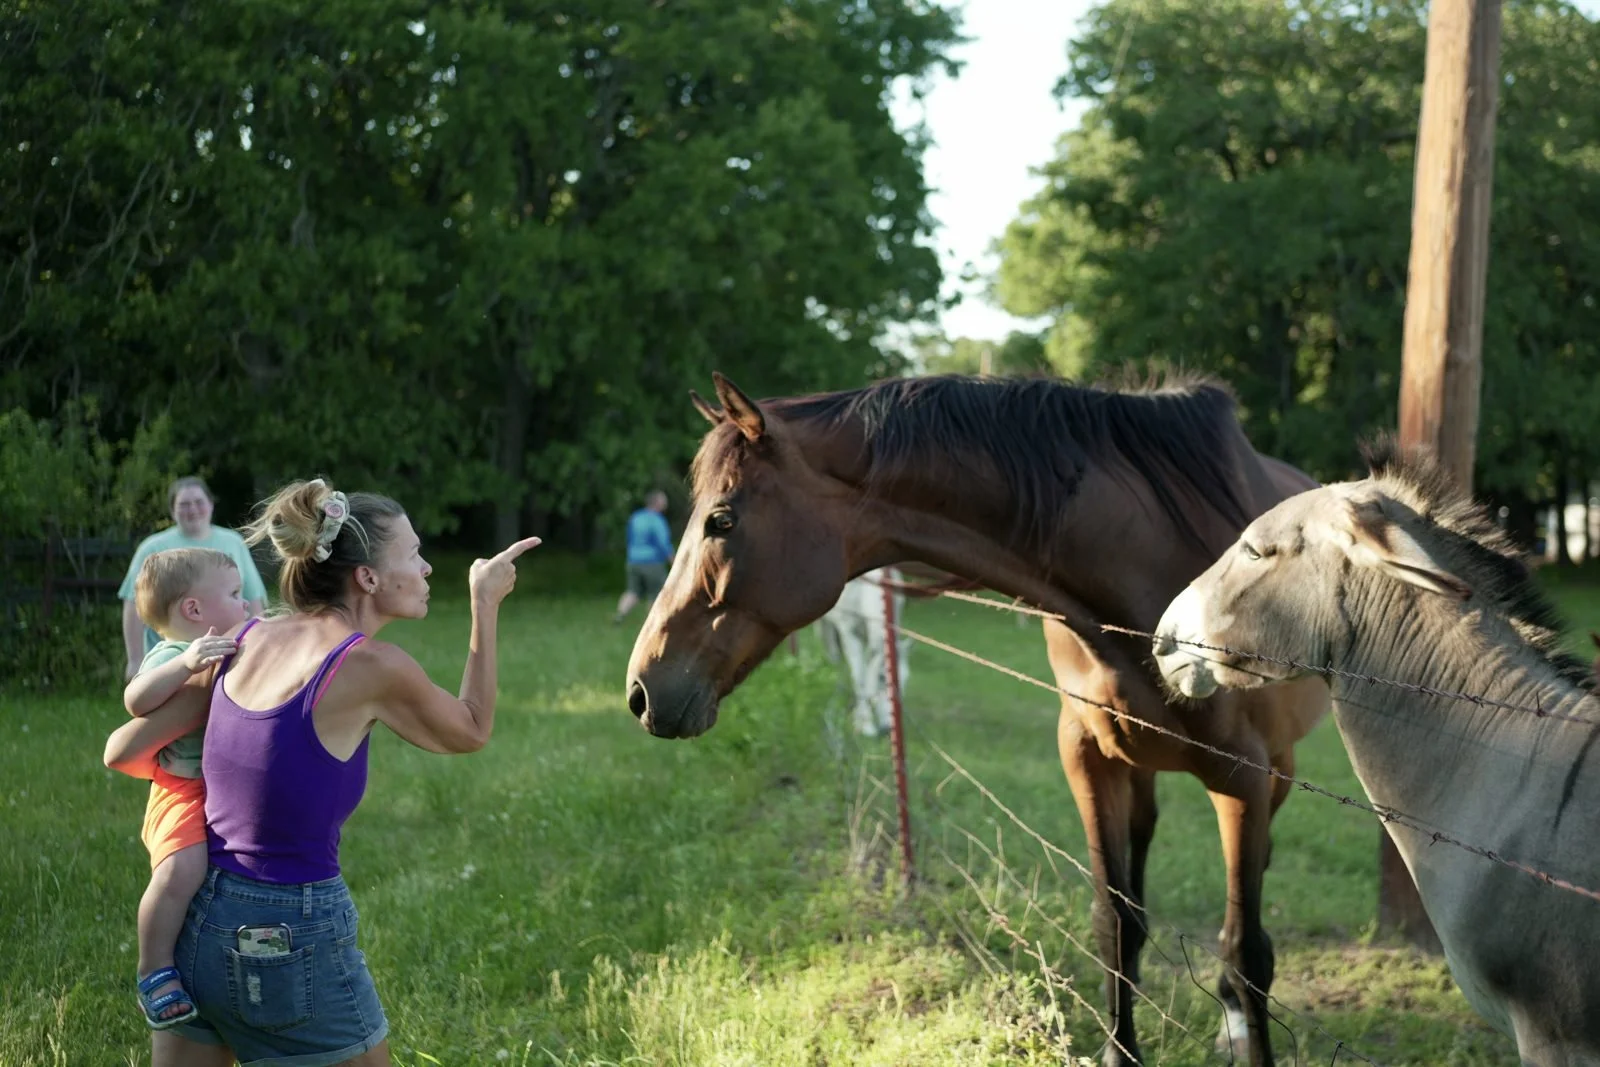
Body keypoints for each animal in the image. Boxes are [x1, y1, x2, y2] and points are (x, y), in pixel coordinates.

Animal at [624, 371, 1330, 1067]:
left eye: (721, 520)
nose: (641, 689)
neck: (1154, 578)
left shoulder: (1241, 777)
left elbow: (1246, 952)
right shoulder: (1087, 756)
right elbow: (1115, 922)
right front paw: (1119, 1051)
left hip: (1276, 770)